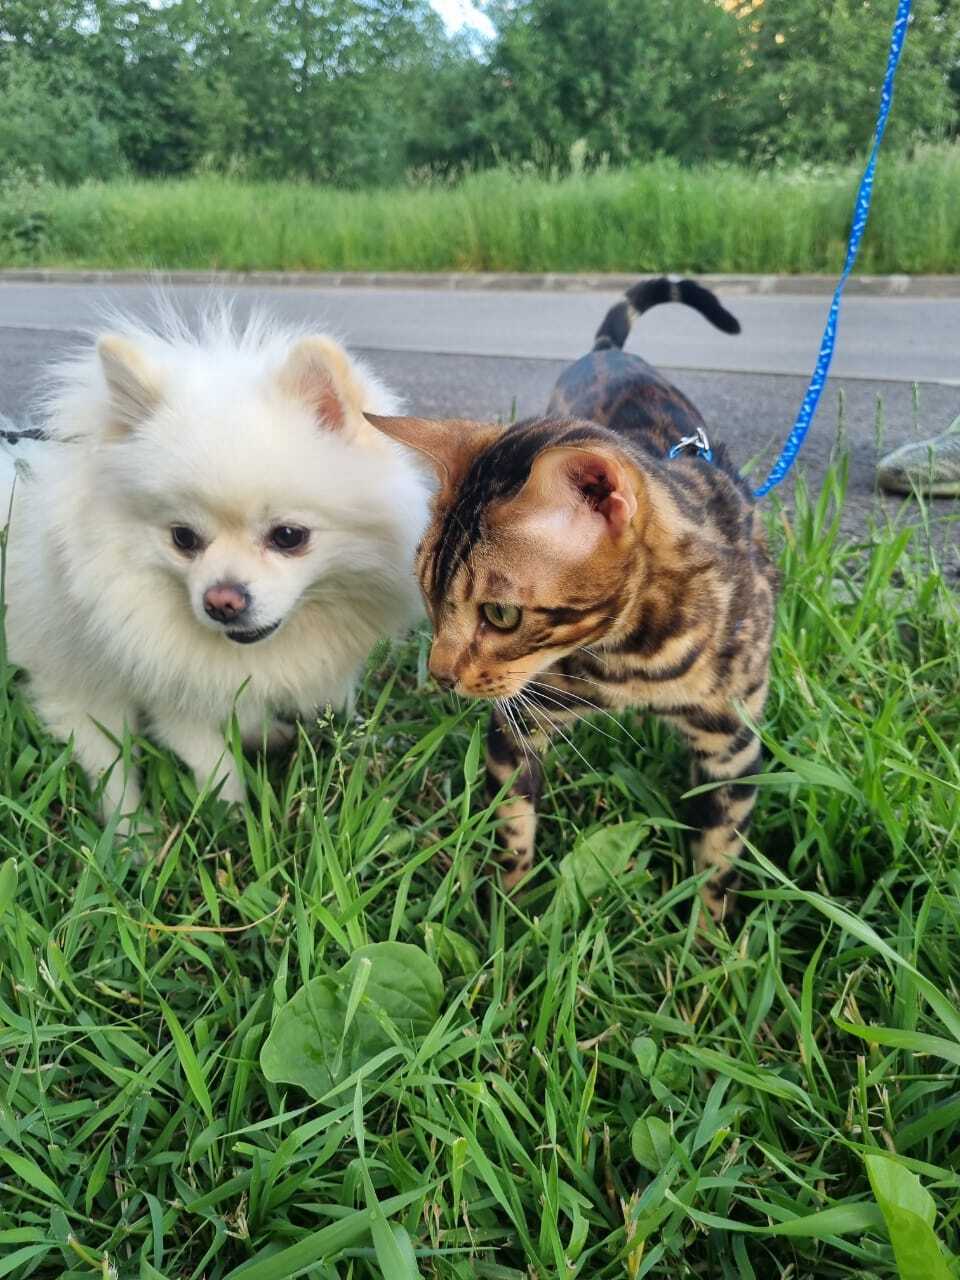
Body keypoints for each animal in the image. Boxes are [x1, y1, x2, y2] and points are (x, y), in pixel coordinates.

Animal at [0, 303, 429, 826]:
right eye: (183, 539)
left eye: (289, 536)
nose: (222, 601)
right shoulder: (171, 692)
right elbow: (214, 763)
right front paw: (235, 818)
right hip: (83, 688)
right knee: (109, 766)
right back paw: (134, 835)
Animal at [366, 277, 778, 922]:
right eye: (429, 595)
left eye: (501, 615)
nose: (440, 676)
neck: (633, 660)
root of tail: (607, 352)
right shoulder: (517, 724)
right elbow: (511, 833)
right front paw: (507, 917)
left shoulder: (731, 746)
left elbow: (717, 863)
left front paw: (708, 938)